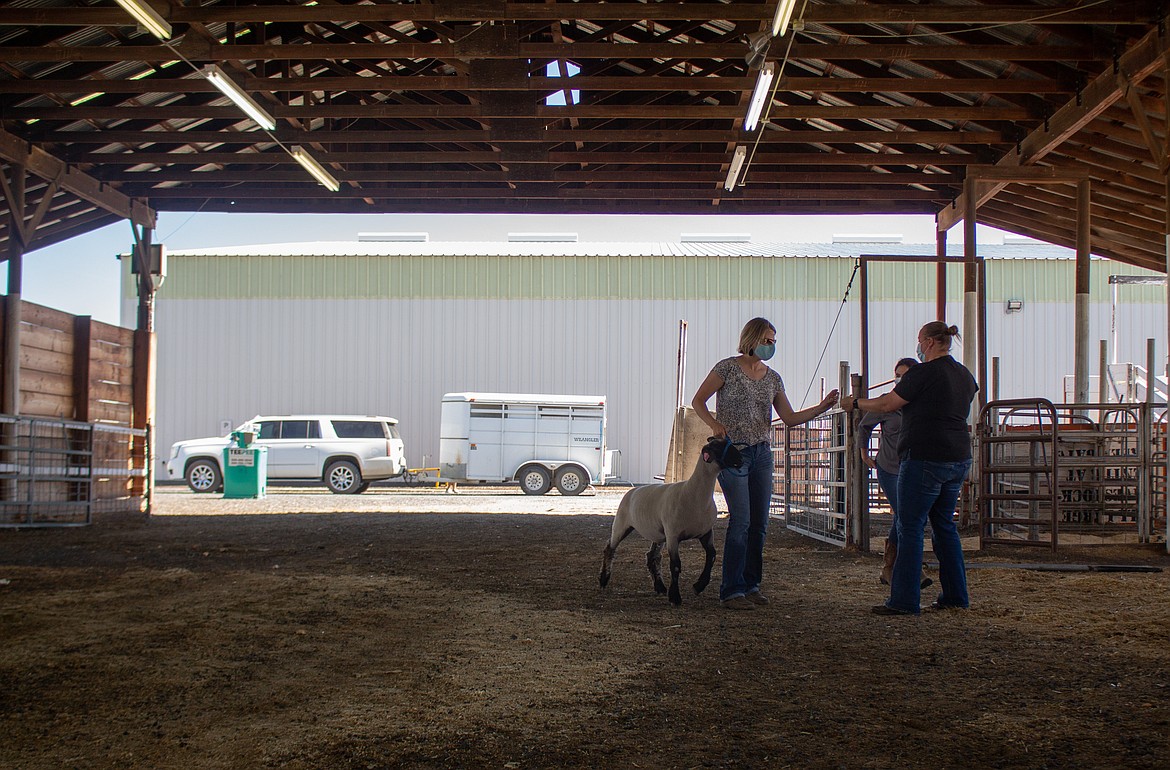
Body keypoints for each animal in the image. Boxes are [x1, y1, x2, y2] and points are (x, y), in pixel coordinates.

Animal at [599, 435, 744, 603]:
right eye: (718, 447)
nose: (741, 459)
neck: (694, 495)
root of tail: (632, 491)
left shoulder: (706, 532)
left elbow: (712, 556)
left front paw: (699, 586)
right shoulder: (673, 535)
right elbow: (675, 565)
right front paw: (675, 597)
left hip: (659, 534)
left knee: (652, 557)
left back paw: (660, 587)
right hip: (621, 524)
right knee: (610, 548)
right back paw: (603, 580)